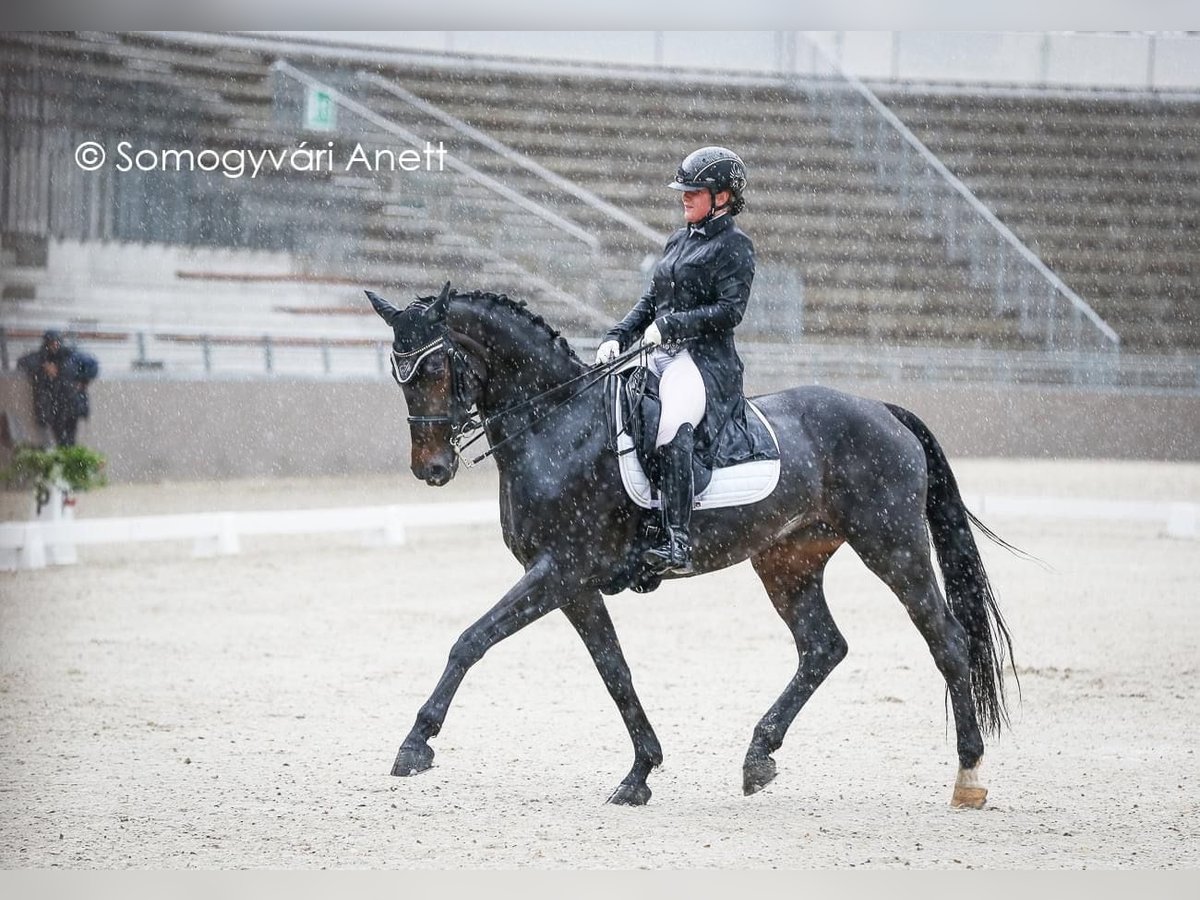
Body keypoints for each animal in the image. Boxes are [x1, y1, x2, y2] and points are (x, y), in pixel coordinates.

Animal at [364, 282, 1012, 811]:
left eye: (435, 367)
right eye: (397, 374)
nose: (431, 469)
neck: (556, 424)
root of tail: (882, 409)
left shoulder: (560, 570)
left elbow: (470, 640)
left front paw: (414, 744)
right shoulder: (571, 583)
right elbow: (614, 670)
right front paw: (639, 774)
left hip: (892, 545)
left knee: (946, 638)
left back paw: (969, 776)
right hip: (787, 560)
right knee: (822, 647)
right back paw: (758, 758)